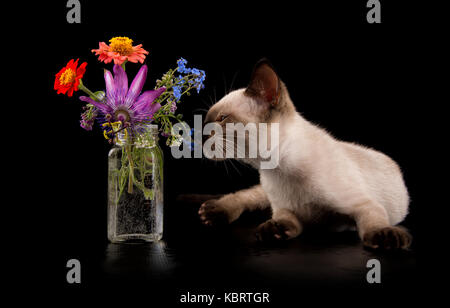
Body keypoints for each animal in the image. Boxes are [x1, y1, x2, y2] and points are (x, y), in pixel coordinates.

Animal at [199, 59, 414, 249]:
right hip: (263, 196)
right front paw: (273, 230)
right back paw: (213, 211)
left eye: (222, 118)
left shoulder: (363, 206)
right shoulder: (283, 209)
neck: (277, 169)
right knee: (249, 196)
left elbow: (374, 223)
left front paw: (386, 237)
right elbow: (282, 220)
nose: (200, 134)